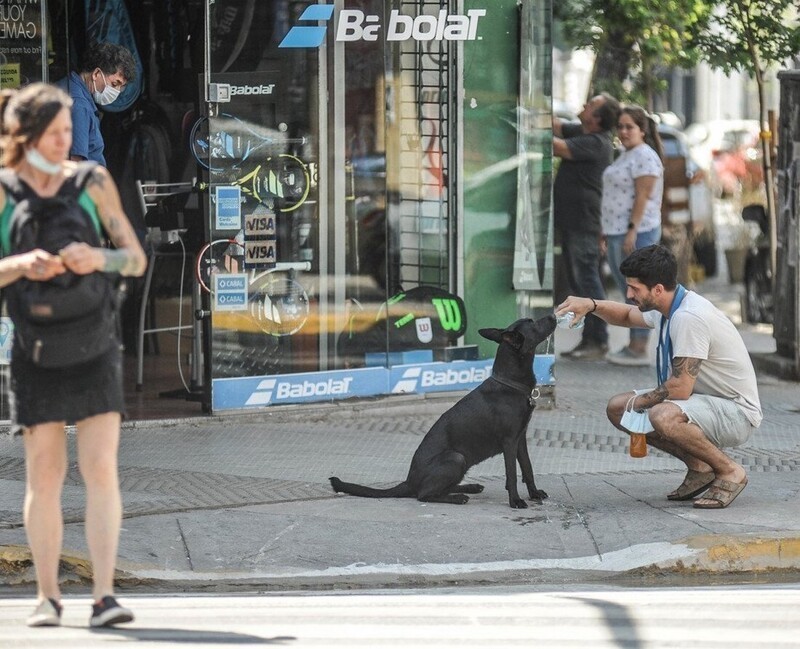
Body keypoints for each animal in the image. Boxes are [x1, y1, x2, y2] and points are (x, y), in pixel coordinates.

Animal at [330, 314, 556, 506]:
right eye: (532, 322)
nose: (554, 315)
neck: (510, 383)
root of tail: (409, 481)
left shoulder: (520, 438)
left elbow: (527, 468)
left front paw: (534, 493)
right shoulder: (509, 441)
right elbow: (512, 474)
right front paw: (515, 501)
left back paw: (469, 487)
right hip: (456, 458)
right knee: (424, 494)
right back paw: (457, 497)